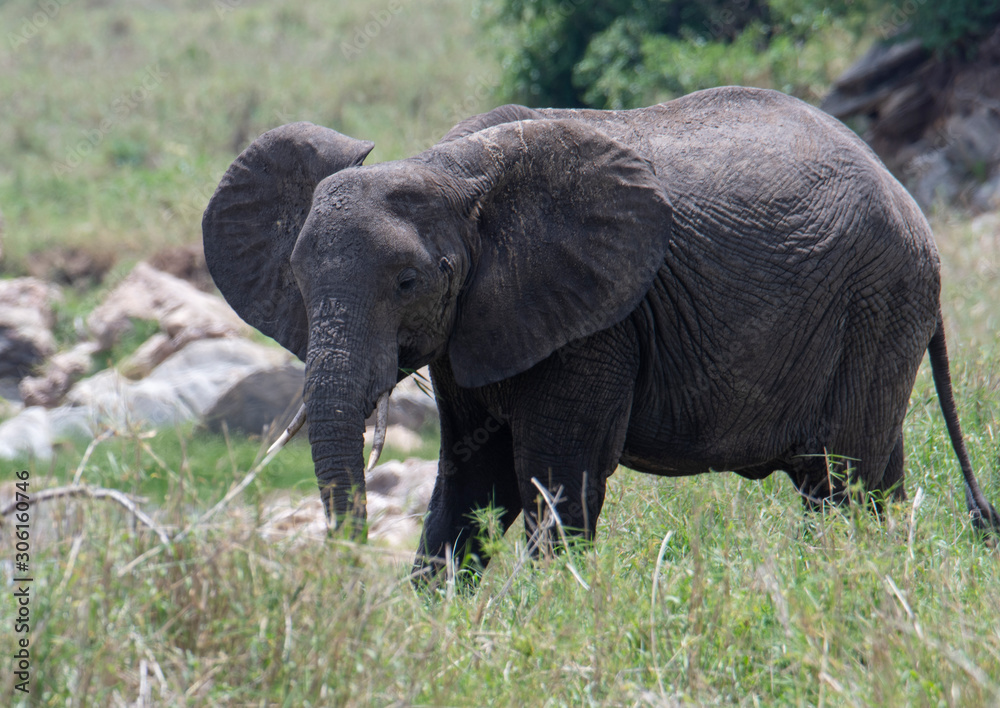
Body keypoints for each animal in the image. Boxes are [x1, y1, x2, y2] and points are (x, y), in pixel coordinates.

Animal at [203, 84, 1000, 580]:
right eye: (298, 283)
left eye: (407, 283)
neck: (449, 173)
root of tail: (910, 202)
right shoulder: (480, 327)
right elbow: (470, 483)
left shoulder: (595, 323)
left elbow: (557, 479)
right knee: (873, 478)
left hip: (877, 301)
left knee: (843, 480)